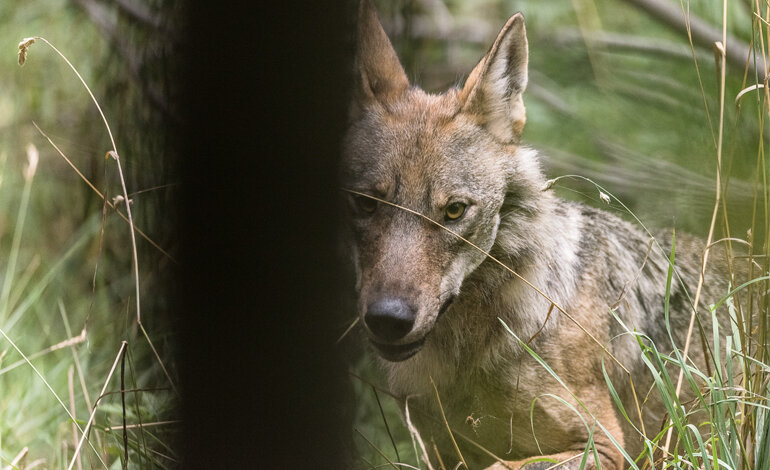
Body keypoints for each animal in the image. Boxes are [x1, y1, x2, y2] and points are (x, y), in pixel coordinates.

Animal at [342, 2, 736, 469]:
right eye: (366, 204)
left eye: (454, 211)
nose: (388, 319)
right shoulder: (439, 449)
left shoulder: (607, 445)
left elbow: (502, 464)